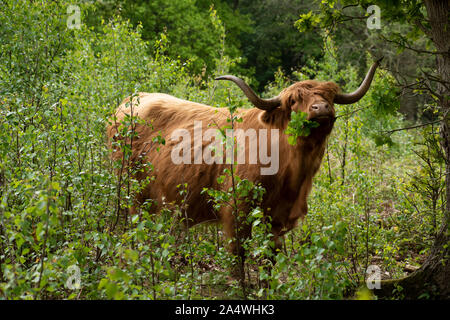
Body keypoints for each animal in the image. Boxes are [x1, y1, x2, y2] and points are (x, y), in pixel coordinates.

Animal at [107, 58, 382, 262]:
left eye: (329, 97)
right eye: (294, 101)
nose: (321, 108)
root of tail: (130, 101)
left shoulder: (278, 216)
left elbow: (272, 256)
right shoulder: (236, 208)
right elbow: (237, 254)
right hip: (135, 192)